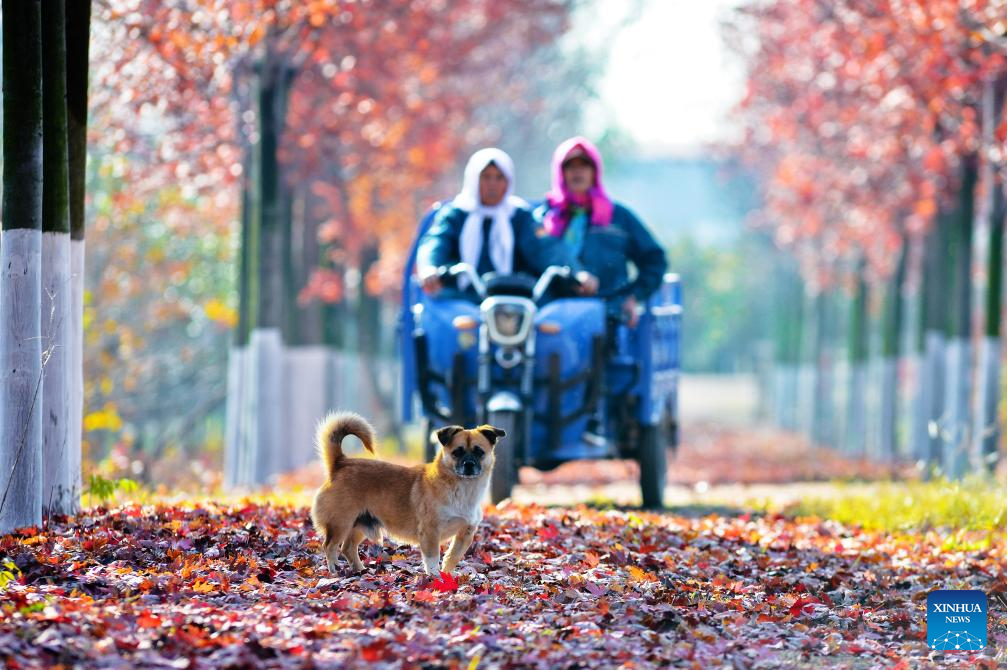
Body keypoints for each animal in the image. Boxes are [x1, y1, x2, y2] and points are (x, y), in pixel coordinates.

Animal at [310, 411, 505, 575]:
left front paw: (447, 575)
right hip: (340, 524)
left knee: (348, 548)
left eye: (479, 452)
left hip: (360, 524)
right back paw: (334, 571)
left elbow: (452, 556)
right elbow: (433, 558)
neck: (463, 489)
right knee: (330, 547)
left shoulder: (466, 533)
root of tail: (340, 463)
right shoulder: (430, 532)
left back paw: (360, 570)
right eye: (457, 452)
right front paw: (435, 578)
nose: (469, 464)